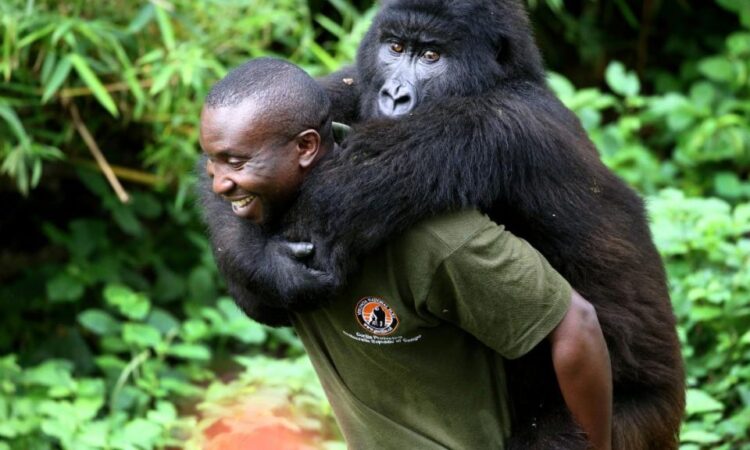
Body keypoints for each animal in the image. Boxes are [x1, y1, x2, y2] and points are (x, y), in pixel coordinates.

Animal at [200, 0, 688, 450]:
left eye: (432, 56)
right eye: (395, 48)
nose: (394, 97)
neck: (503, 77)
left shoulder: (497, 123)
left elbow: (324, 200)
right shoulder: (353, 84)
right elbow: (213, 172)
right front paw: (268, 269)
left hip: (631, 421)